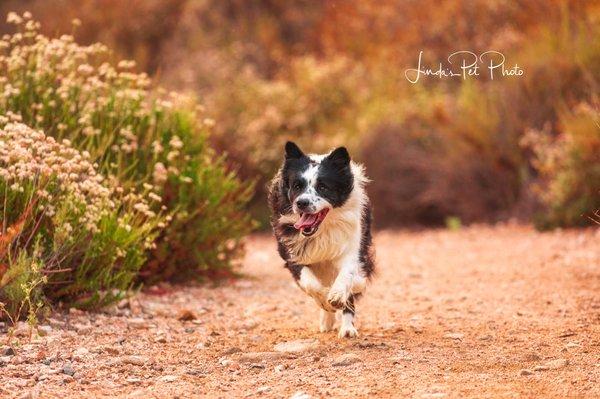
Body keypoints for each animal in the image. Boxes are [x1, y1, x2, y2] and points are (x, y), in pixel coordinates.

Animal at [268, 142, 372, 340]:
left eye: (323, 187)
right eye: (297, 186)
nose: (301, 203)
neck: (322, 229)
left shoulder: (352, 246)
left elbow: (347, 275)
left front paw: (337, 295)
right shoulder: (291, 253)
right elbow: (310, 282)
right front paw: (325, 300)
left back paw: (347, 328)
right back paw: (327, 319)